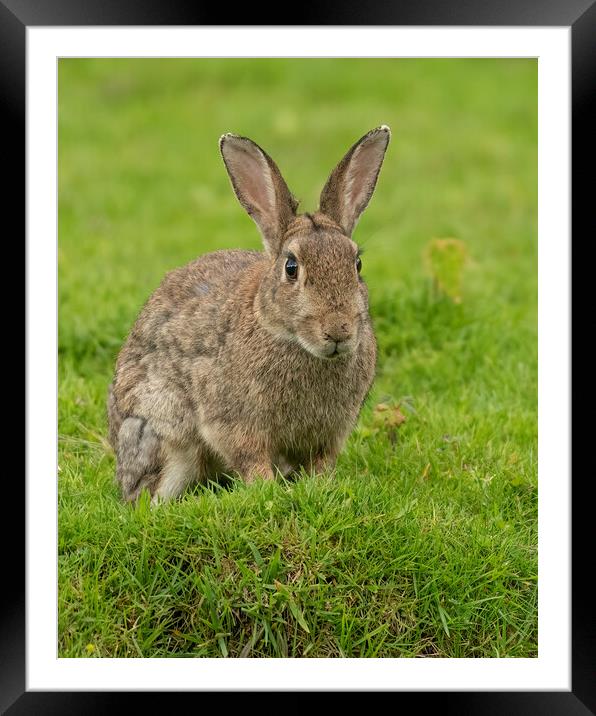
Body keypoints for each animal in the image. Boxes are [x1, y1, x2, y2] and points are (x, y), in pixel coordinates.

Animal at [107, 126, 392, 500]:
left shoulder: (331, 434)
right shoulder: (232, 424)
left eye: (357, 264)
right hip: (161, 434)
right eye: (291, 267)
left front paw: (318, 488)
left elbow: (321, 465)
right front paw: (267, 490)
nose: (338, 330)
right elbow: (251, 459)